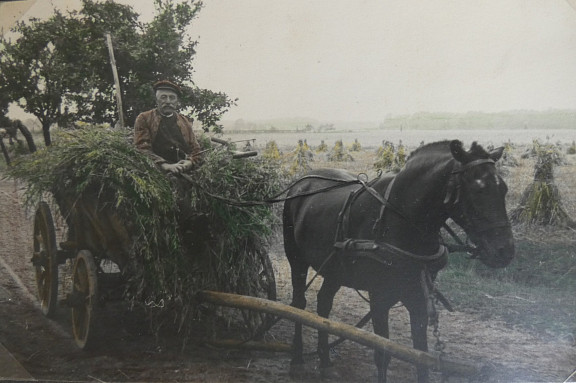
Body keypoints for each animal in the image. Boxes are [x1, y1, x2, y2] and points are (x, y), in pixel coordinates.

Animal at [282, 141, 512, 383]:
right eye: (478, 189)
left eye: (504, 189)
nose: (505, 250)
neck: (398, 220)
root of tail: (303, 181)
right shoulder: (379, 299)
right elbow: (383, 355)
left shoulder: (418, 299)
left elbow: (421, 355)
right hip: (296, 260)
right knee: (298, 304)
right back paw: (297, 360)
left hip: (335, 270)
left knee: (324, 304)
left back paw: (325, 362)